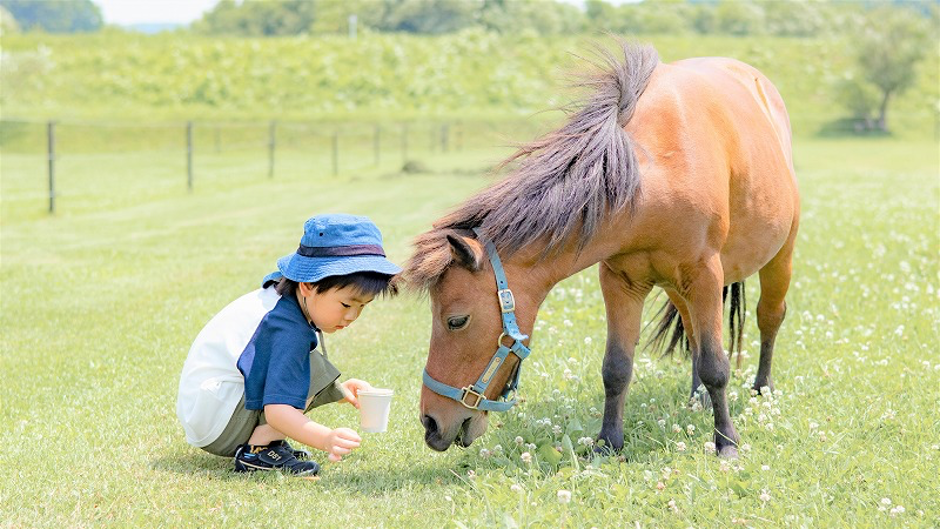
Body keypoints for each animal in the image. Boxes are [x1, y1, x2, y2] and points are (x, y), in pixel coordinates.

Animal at [402, 41, 799, 458]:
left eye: (456, 321)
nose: (430, 423)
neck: (650, 179)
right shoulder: (620, 282)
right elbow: (617, 367)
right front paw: (608, 442)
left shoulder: (704, 274)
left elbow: (715, 365)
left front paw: (726, 442)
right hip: (678, 287)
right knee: (693, 333)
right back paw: (697, 398)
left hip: (778, 258)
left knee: (768, 318)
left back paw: (762, 387)